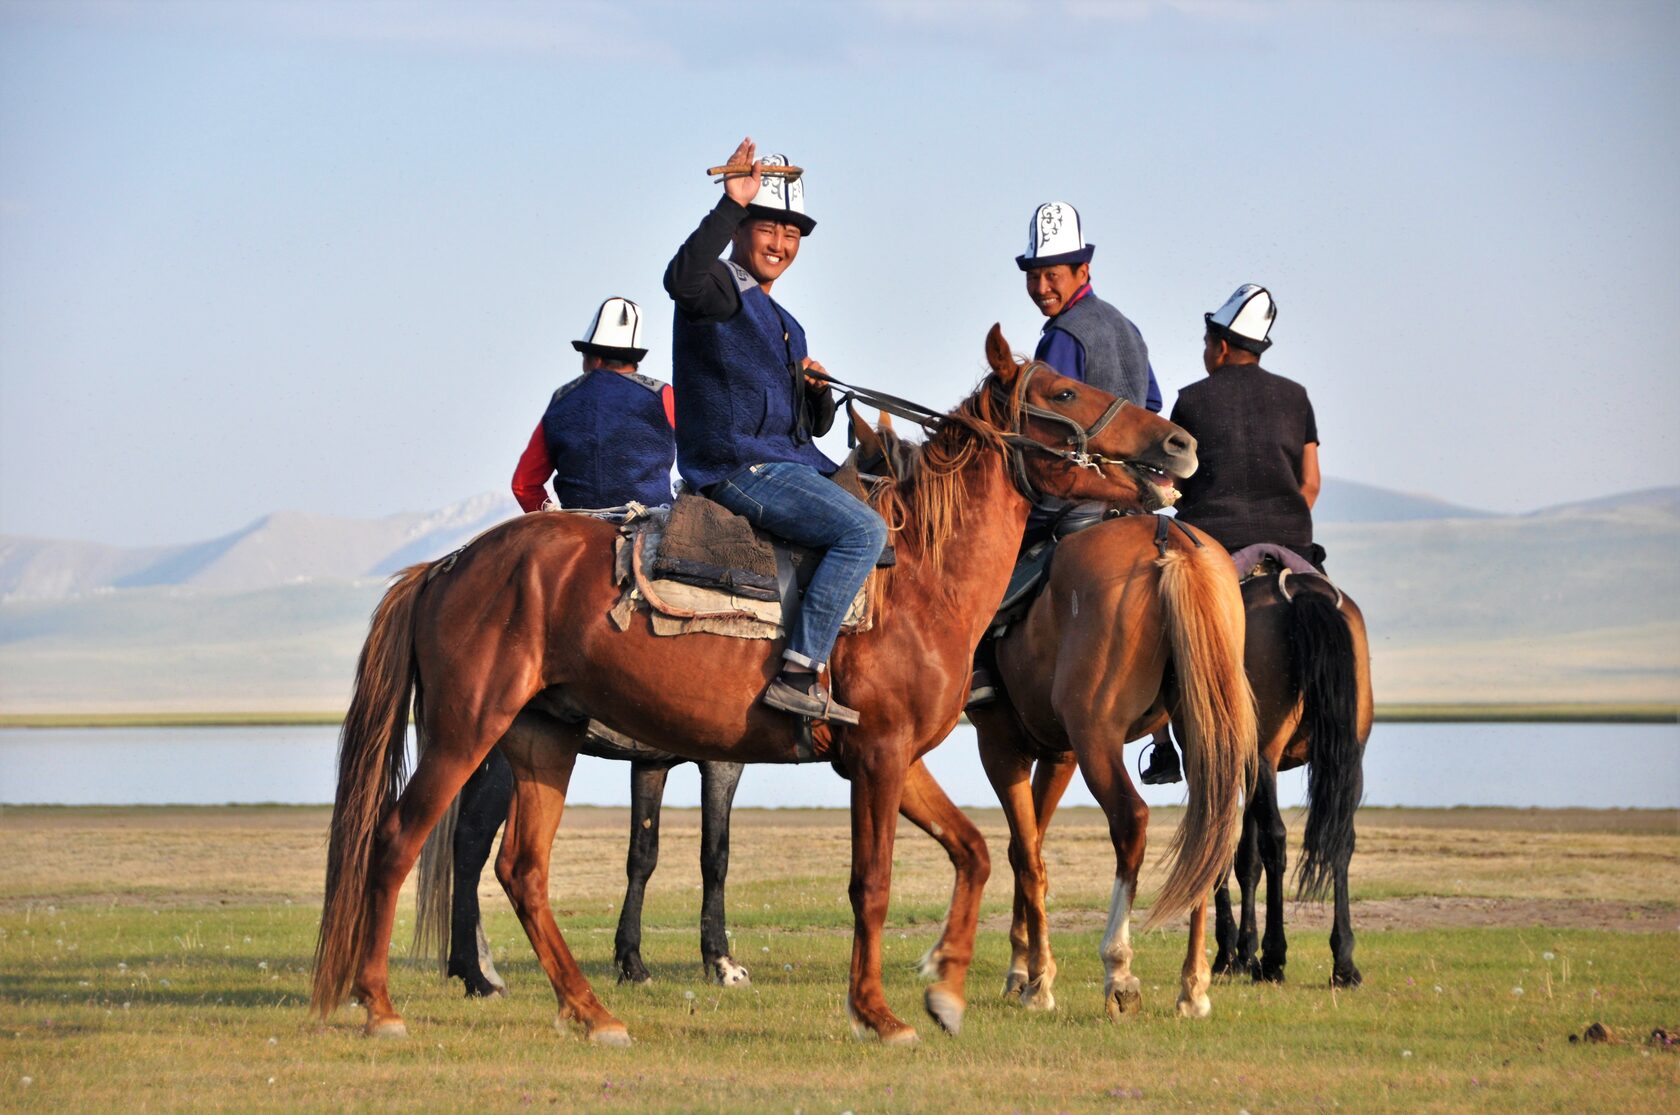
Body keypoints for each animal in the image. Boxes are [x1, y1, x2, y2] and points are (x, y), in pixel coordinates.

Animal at [312, 327, 1209, 1047]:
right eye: (1062, 391)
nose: (1177, 444)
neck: (920, 576)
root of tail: (447, 565)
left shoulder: (895, 757)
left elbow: (976, 851)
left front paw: (947, 989)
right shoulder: (877, 758)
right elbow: (872, 884)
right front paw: (878, 1013)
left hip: (543, 738)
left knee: (522, 870)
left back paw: (591, 1011)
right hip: (468, 731)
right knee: (399, 840)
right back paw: (384, 1003)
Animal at [967, 513, 1256, 1020]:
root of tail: (1171, 542)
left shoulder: (1000, 748)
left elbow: (1027, 856)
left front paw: (1037, 981)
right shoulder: (1058, 754)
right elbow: (1029, 849)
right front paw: (1022, 967)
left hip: (1096, 738)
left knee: (1129, 822)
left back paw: (1118, 970)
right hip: (1197, 731)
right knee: (1209, 831)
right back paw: (1193, 986)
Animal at [1216, 570, 1370, 987]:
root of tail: (1301, 591)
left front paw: (1229, 954)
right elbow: (1246, 860)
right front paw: (1243, 951)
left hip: (1260, 754)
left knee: (1276, 841)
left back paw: (1274, 957)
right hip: (1348, 755)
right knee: (1340, 839)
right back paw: (1343, 962)